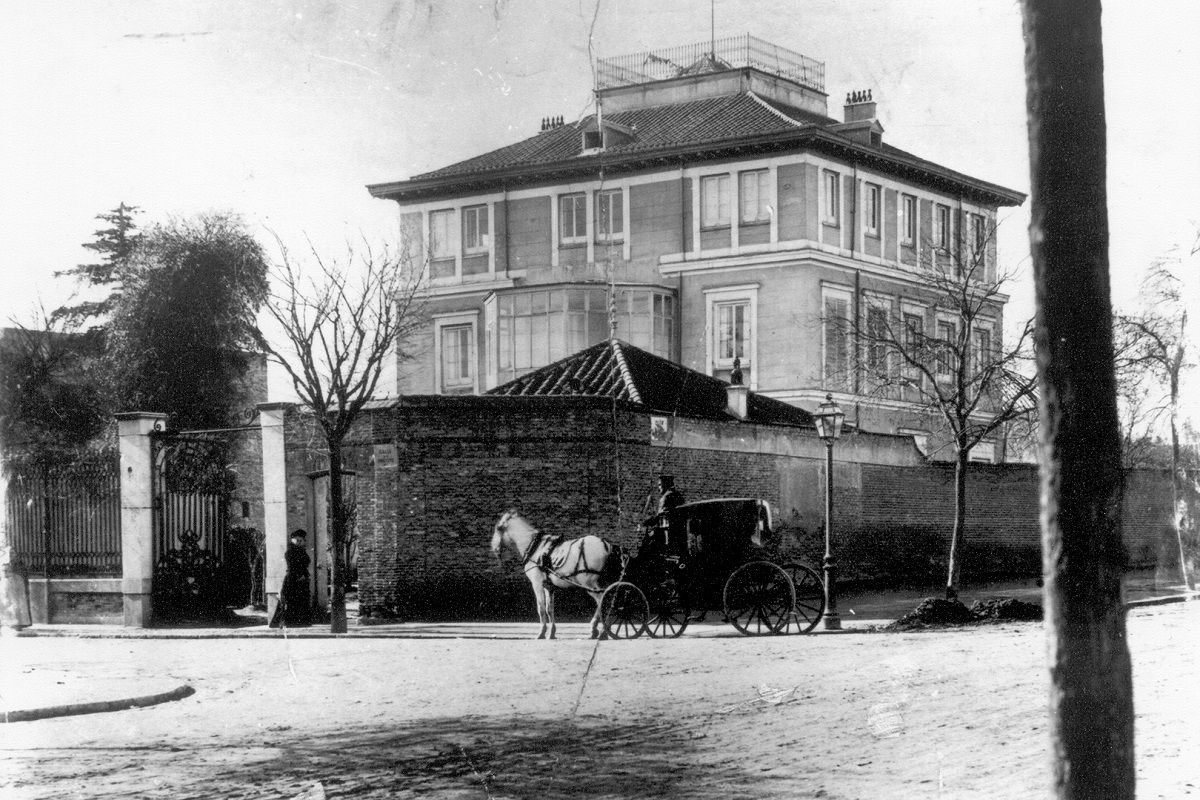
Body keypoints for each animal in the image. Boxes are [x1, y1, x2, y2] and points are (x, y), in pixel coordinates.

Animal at [489, 510, 624, 642]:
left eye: (499, 528)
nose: (494, 549)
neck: (535, 547)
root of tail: (607, 546)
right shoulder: (548, 586)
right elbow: (549, 609)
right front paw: (552, 633)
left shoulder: (537, 583)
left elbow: (541, 608)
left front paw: (542, 632)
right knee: (611, 599)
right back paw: (600, 629)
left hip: (589, 584)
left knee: (602, 600)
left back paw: (599, 630)